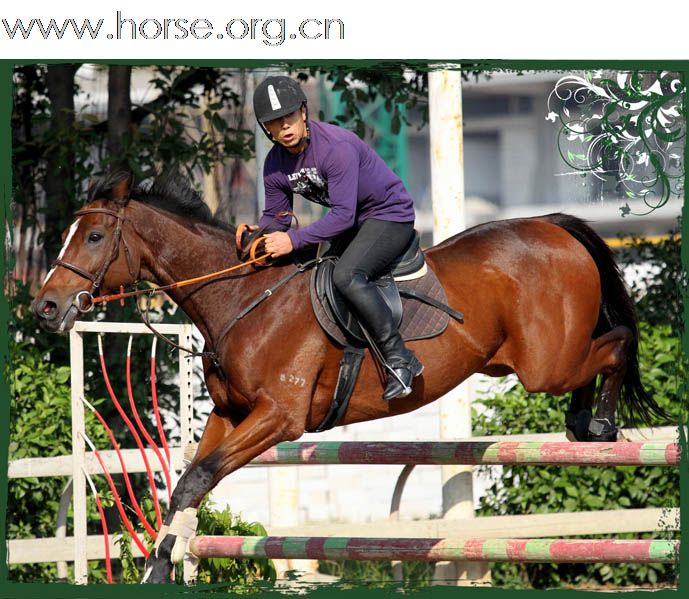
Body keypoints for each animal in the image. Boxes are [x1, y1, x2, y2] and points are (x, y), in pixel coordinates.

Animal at [30, 171, 660, 584]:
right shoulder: (230, 415)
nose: (46, 309)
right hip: (526, 360)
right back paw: (583, 423)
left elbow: (199, 476)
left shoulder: (278, 419)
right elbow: (190, 481)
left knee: (617, 344)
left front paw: (161, 567)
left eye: (93, 237)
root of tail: (552, 226)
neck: (243, 298)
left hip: (544, 364)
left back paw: (600, 423)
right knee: (599, 356)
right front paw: (163, 562)